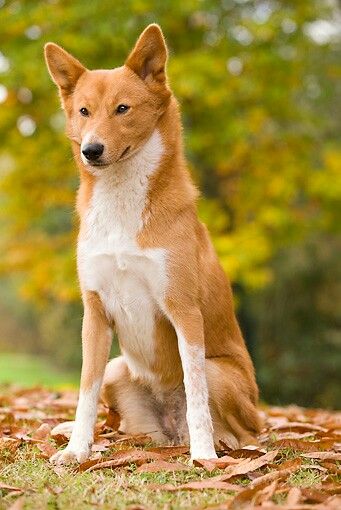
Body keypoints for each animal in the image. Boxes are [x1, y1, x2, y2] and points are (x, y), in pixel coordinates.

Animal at [43, 23, 258, 464]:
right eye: (83, 111)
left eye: (122, 109)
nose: (91, 150)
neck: (122, 207)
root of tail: (167, 432)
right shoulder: (94, 314)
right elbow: (85, 392)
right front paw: (77, 450)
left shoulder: (183, 310)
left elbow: (196, 393)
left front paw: (204, 456)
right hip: (117, 368)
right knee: (117, 420)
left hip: (221, 374)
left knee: (227, 420)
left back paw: (217, 445)